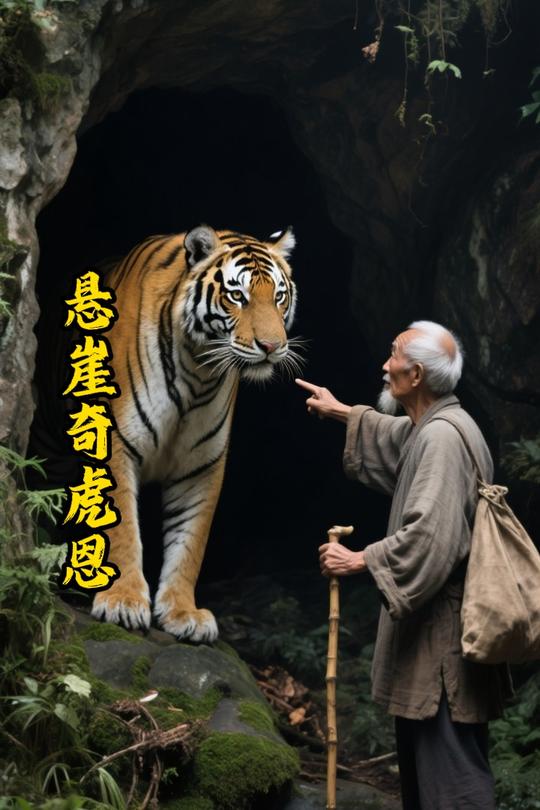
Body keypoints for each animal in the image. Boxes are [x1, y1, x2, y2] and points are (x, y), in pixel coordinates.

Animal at [82, 224, 299, 642]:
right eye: (237, 295)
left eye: (278, 296)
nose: (272, 346)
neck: (199, 371)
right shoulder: (117, 444)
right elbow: (123, 528)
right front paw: (123, 601)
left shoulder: (202, 463)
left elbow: (190, 540)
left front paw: (183, 613)